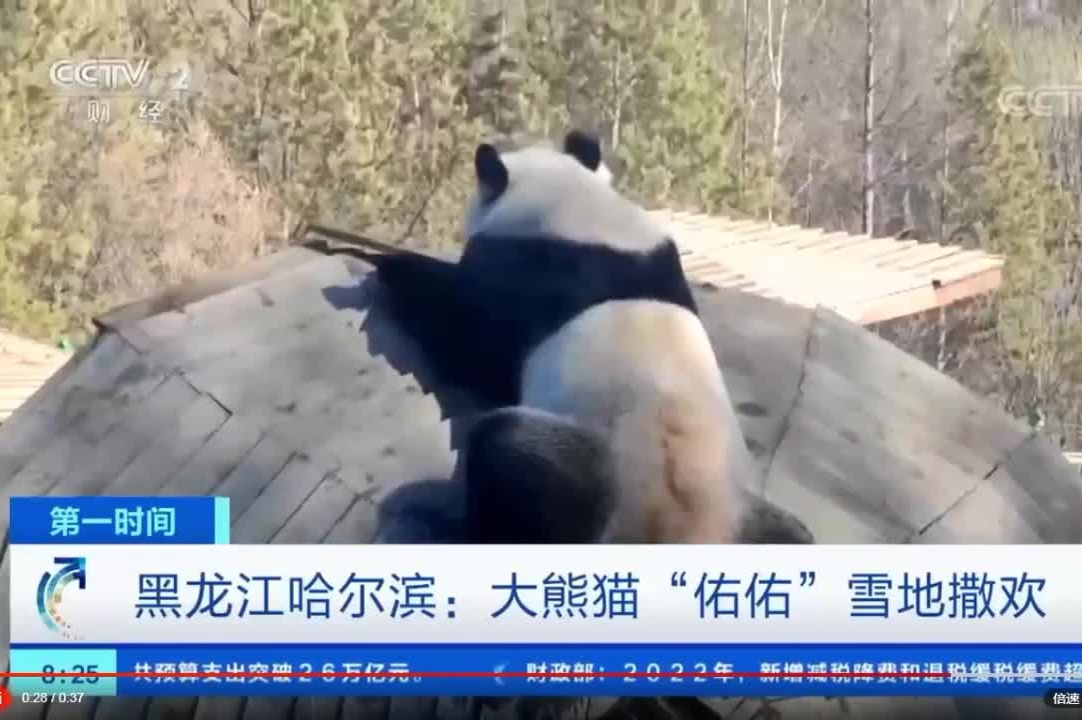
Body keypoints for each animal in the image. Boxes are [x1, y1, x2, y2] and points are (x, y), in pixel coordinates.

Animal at [335, 130, 811, 545]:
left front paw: (390, 267)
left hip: (594, 465)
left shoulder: (522, 274)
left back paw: (459, 525)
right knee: (793, 534)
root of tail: (681, 533)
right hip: (744, 510)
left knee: (509, 454)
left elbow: (466, 339)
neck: (574, 199)